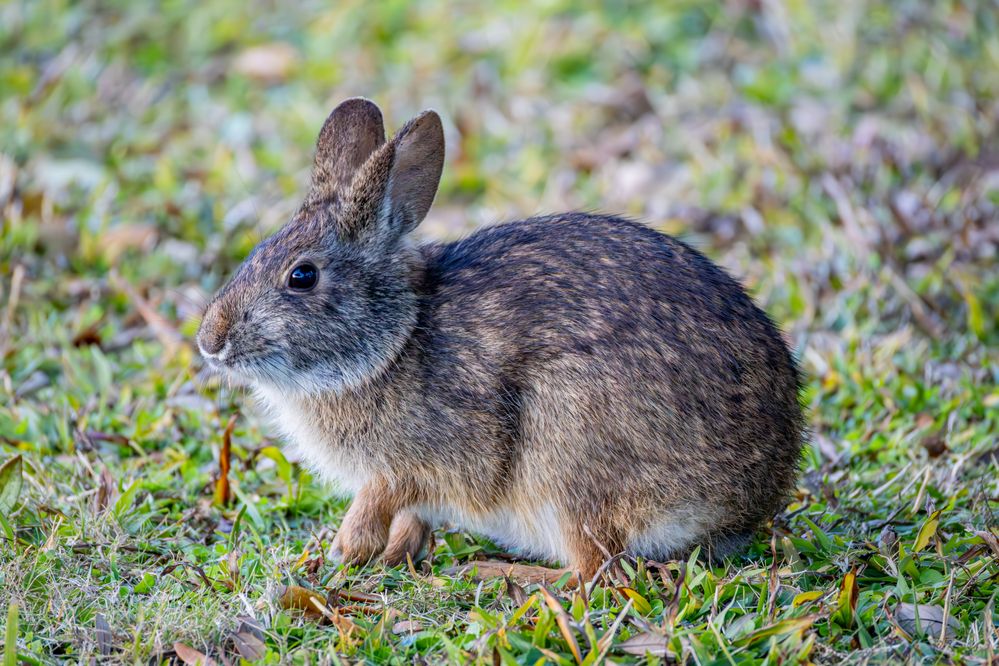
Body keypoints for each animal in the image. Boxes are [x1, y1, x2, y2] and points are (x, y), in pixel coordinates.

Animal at [195, 96, 804, 580]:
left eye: (302, 276)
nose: (209, 341)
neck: (394, 340)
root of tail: (744, 504)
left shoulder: (417, 462)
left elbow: (380, 503)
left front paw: (340, 553)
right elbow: (410, 522)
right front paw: (392, 557)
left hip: (569, 450)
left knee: (594, 570)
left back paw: (500, 573)